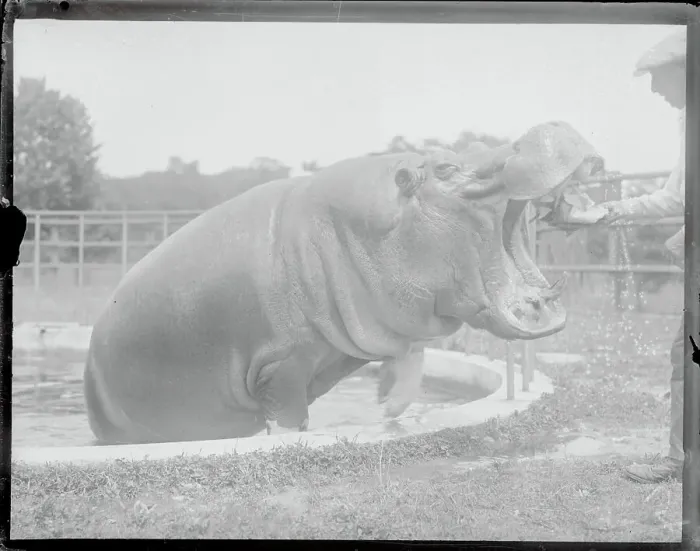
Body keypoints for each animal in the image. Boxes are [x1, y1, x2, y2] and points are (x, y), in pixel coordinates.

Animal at [84, 121, 604, 444]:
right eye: (445, 167)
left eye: (467, 150)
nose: (552, 125)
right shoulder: (279, 363)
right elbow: (289, 415)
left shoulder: (402, 327)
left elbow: (409, 371)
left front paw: (389, 413)